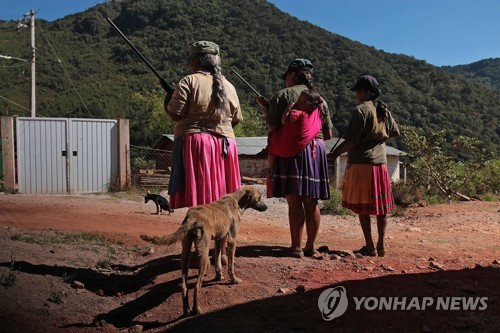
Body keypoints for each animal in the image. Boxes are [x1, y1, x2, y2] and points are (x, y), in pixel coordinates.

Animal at [139, 185, 268, 316]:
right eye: (260, 197)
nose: (266, 207)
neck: (237, 200)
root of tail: (192, 218)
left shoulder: (219, 239)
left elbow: (218, 261)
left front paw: (219, 276)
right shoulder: (232, 240)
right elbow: (230, 265)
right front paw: (234, 280)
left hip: (185, 254)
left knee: (184, 286)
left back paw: (186, 310)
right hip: (203, 256)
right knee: (197, 286)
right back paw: (197, 310)